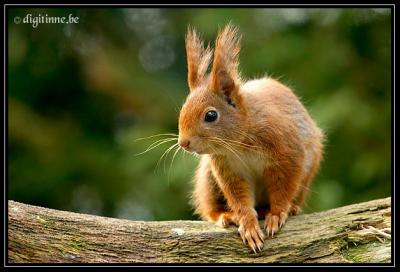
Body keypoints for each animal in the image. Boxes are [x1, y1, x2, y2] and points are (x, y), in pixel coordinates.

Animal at [178, 24, 324, 252]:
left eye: (211, 115)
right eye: (183, 108)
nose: (183, 143)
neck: (239, 141)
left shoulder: (285, 150)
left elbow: (283, 187)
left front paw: (277, 214)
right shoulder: (228, 169)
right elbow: (239, 198)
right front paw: (248, 224)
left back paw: (283, 209)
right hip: (209, 179)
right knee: (210, 208)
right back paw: (225, 216)